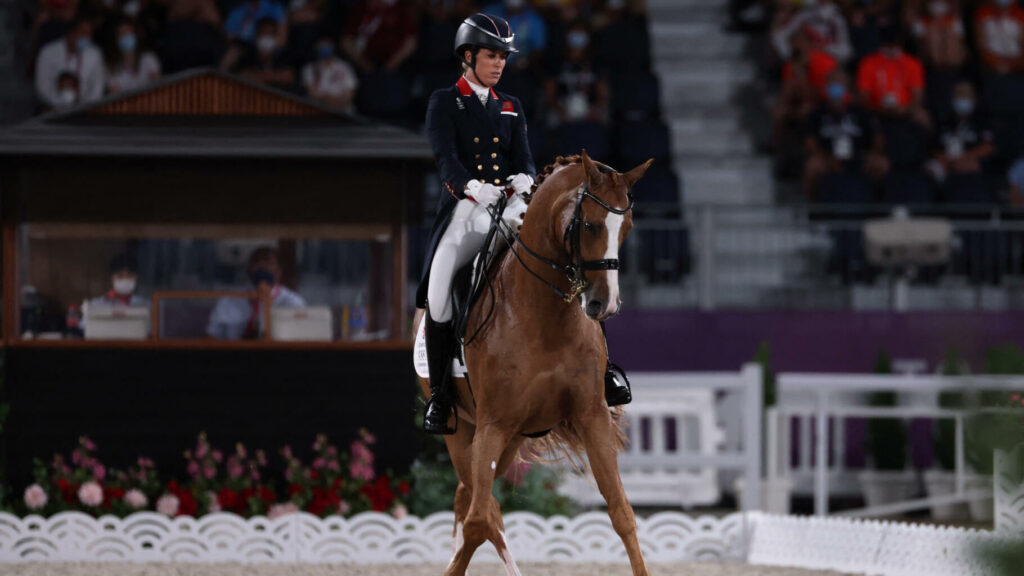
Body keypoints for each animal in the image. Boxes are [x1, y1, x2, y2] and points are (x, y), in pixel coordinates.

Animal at [413, 150, 647, 569]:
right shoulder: (492, 425)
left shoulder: (592, 416)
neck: (544, 317)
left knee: (469, 499)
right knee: (481, 508)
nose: (605, 305)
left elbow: (622, 512)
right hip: (464, 432)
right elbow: (478, 523)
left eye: (628, 227)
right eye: (589, 225)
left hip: (512, 437)